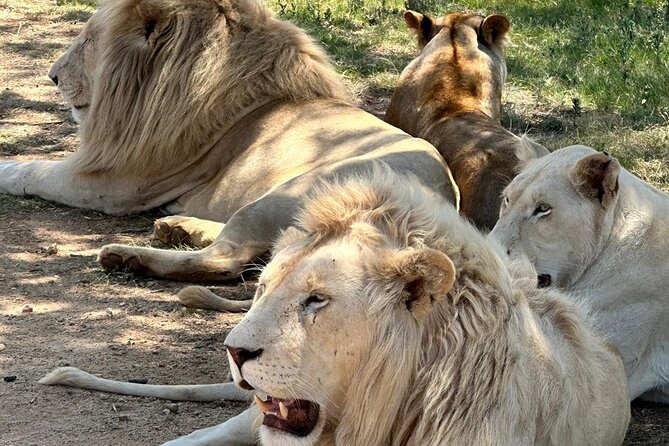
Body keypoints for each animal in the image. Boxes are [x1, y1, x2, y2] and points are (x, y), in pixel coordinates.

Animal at [0, 0, 458, 295]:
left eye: (87, 41)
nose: (52, 76)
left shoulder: (116, 182)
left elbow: (36, 170)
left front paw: (8, 167)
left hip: (296, 191)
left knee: (229, 260)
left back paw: (128, 256)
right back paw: (178, 227)